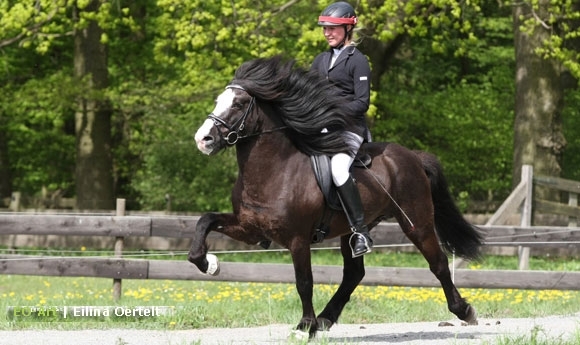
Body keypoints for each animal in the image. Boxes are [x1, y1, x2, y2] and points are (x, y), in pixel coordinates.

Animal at [188, 55, 482, 338]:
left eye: (238, 104)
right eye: (218, 101)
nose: (202, 140)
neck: (275, 171)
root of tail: (413, 156)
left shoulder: (297, 239)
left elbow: (304, 281)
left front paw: (304, 326)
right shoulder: (251, 229)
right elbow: (205, 222)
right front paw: (208, 263)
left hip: (416, 222)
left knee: (438, 263)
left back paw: (464, 310)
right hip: (351, 230)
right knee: (354, 274)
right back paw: (325, 318)